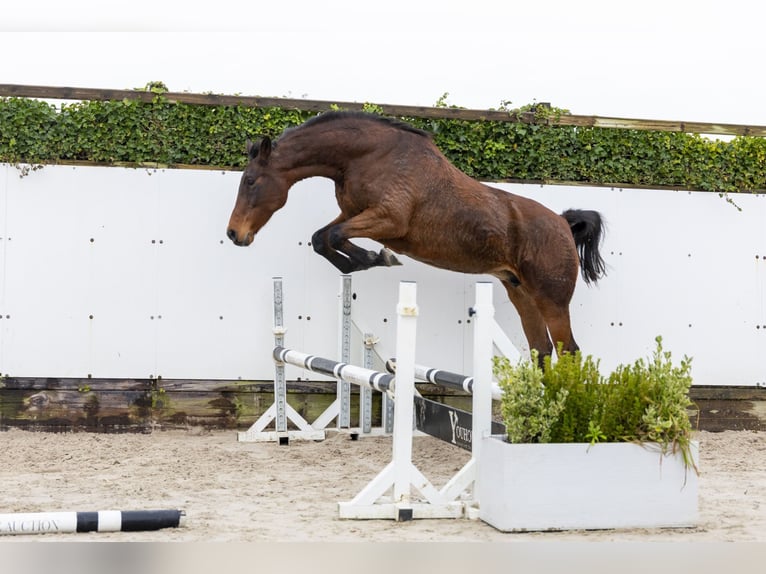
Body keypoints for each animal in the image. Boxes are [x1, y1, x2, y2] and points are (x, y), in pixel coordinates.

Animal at [227, 111, 606, 363]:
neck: (366, 156)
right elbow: (322, 237)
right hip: (521, 293)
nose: (234, 234)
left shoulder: (389, 221)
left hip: (551, 299)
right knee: (542, 350)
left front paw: (376, 258)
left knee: (569, 352)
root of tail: (562, 223)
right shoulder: (354, 214)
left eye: (250, 181)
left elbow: (332, 236)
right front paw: (365, 261)